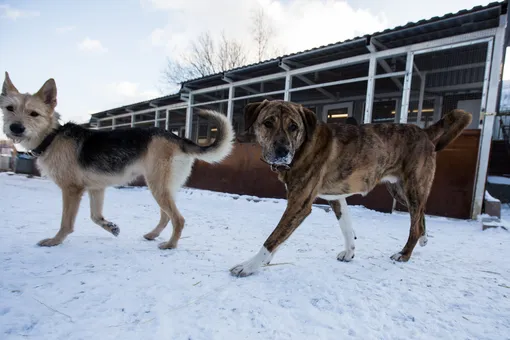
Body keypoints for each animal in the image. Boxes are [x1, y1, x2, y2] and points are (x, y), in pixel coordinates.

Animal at [0, 71, 235, 248]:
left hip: (157, 186)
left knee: (178, 219)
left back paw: (170, 245)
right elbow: (95, 216)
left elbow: (66, 222)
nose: (15, 128)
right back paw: (153, 235)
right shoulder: (96, 189)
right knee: (167, 216)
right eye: (9, 108)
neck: (52, 137)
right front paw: (111, 227)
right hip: (162, 187)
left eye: (34, 114)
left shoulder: (72, 190)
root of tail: (177, 138)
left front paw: (55, 241)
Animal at [229, 98, 472, 276]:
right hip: (400, 190)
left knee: (414, 223)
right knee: (420, 214)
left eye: (293, 127)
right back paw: (423, 238)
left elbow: (273, 238)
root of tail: (424, 132)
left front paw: (249, 265)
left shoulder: (299, 204)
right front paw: (350, 253)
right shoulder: (336, 198)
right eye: (268, 123)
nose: (282, 152)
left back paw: (404, 254)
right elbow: (347, 228)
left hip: (412, 186)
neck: (304, 145)